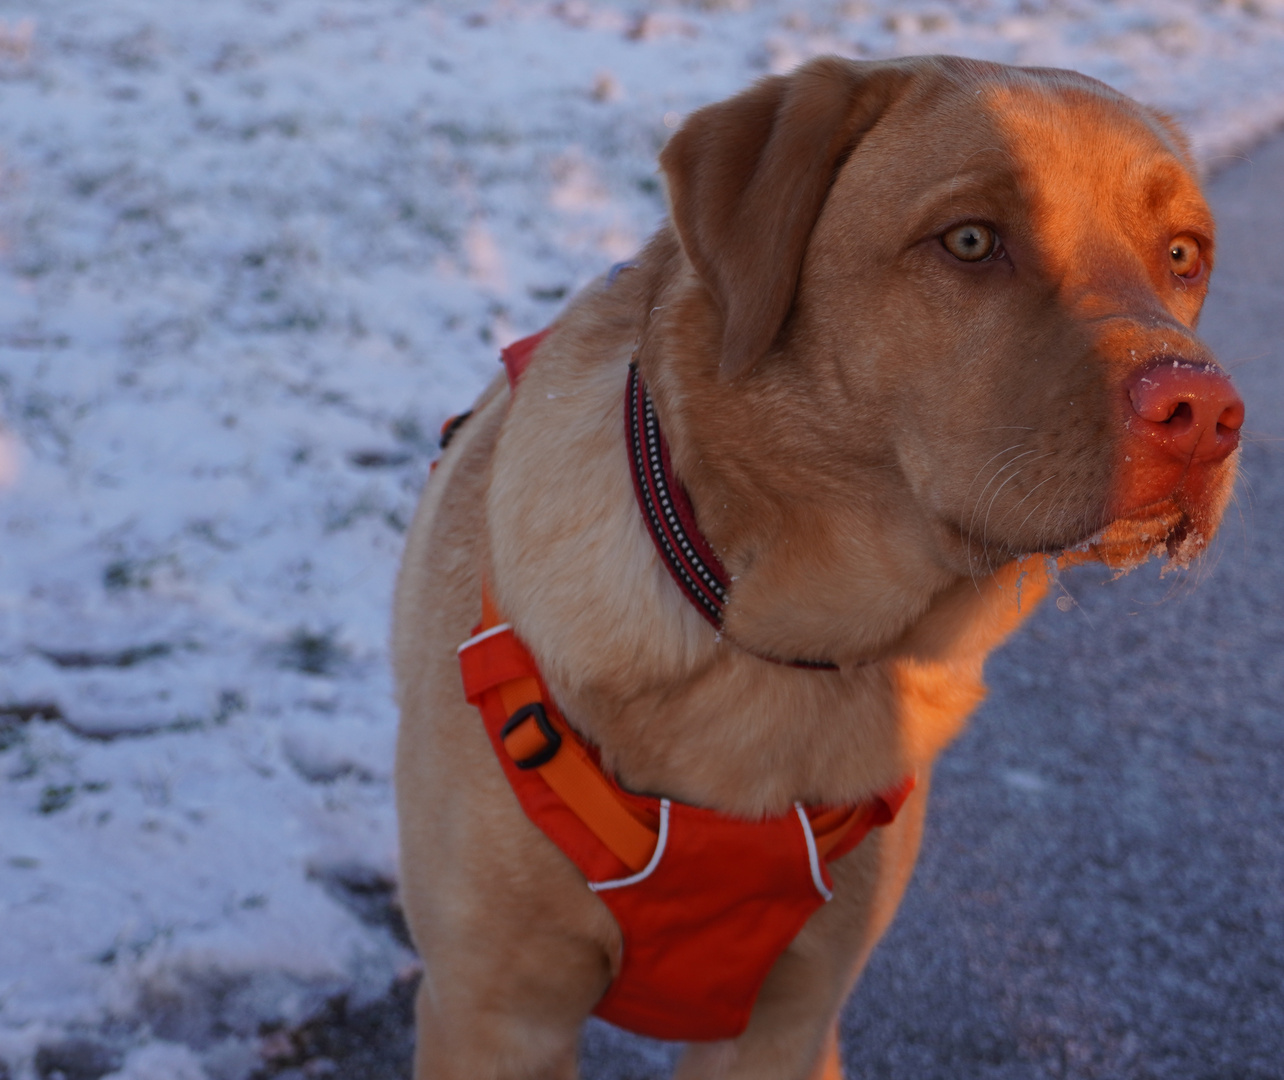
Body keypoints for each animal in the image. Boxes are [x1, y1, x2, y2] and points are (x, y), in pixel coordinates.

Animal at [390, 54, 1242, 1073]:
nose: (1203, 414)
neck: (777, 649)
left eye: (1183, 255)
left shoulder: (790, 1019)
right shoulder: (495, 1018)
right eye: (970, 240)